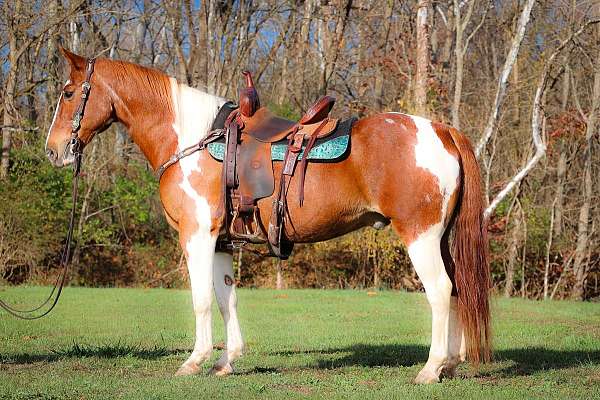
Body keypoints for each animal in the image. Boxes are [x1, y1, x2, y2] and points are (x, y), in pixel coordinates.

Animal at [44, 48, 490, 382]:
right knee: (457, 290)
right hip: (441, 239)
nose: (53, 151)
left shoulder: (197, 236)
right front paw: (226, 362)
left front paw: (194, 362)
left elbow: (201, 300)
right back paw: (450, 364)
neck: (191, 140)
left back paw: (431, 369)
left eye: (68, 93)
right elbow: (226, 299)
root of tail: (442, 130)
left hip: (420, 235)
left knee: (440, 291)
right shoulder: (221, 242)